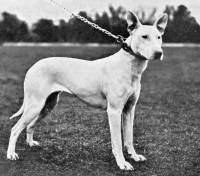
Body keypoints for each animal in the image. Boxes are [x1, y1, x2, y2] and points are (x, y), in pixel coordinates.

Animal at [6, 11, 167, 170]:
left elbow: (129, 138)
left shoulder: (129, 110)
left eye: (159, 37)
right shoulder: (114, 111)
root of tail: (34, 66)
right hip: (35, 105)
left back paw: (30, 143)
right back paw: (11, 154)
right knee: (15, 129)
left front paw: (134, 156)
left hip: (47, 105)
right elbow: (117, 141)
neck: (129, 65)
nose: (159, 53)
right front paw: (122, 163)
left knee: (30, 125)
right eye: (144, 36)